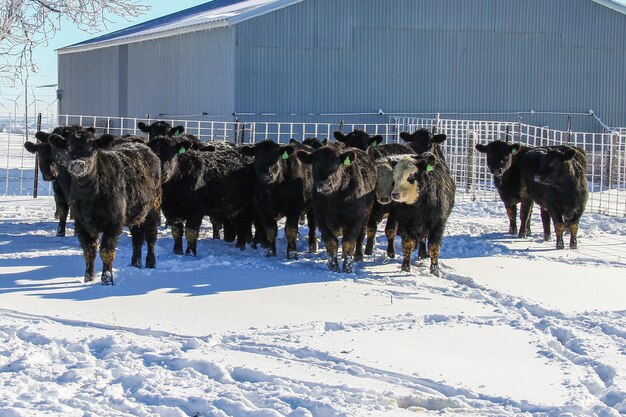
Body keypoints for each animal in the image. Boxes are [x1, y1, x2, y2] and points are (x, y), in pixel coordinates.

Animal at [48, 132, 161, 284]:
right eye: (69, 148)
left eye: (92, 149)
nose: (78, 164)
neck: (89, 196)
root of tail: (141, 145)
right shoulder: (81, 223)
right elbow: (89, 251)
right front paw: (88, 278)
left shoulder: (114, 223)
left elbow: (106, 252)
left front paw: (107, 279)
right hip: (135, 214)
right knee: (137, 237)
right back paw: (135, 264)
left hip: (153, 208)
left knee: (151, 237)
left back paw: (150, 263)